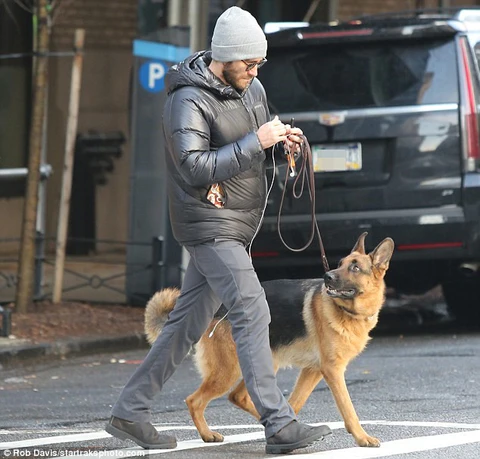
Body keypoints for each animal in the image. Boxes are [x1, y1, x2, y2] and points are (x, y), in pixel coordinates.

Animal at [145, 232, 394, 448]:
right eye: (340, 264)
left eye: (354, 267)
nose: (327, 277)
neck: (348, 312)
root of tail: (220, 307)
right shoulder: (332, 371)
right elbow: (348, 408)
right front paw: (362, 438)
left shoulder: (313, 370)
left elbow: (296, 402)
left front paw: (290, 429)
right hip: (229, 370)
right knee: (195, 400)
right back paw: (208, 434)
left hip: (261, 363)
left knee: (238, 396)